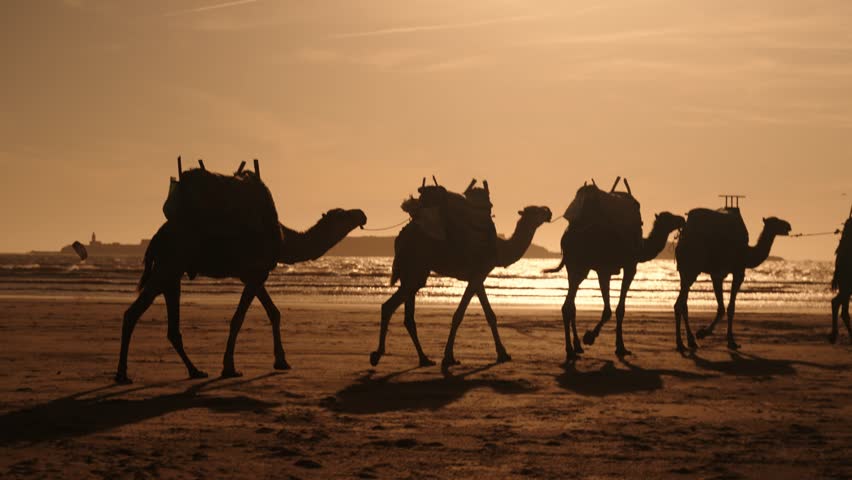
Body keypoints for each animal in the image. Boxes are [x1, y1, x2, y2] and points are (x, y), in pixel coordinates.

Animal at [115, 208, 367, 384]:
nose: (361, 214)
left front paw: (281, 361)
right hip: (169, 264)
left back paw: (195, 370)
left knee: (169, 325)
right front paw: (229, 368)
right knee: (133, 313)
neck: (284, 240)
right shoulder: (254, 274)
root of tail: (157, 236)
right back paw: (123, 375)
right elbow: (238, 319)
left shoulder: (256, 275)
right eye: (343, 214)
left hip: (171, 271)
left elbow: (274, 313)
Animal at [370, 205, 553, 372]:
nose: (548, 212)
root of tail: (400, 238)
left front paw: (502, 353)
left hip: (413, 272)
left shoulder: (478, 277)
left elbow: (489, 315)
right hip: (415, 268)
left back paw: (424, 359)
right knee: (389, 306)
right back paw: (377, 355)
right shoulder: (478, 274)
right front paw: (449, 357)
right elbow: (460, 314)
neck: (498, 249)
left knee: (407, 314)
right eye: (536, 211)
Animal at [546, 186, 685, 362]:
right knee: (569, 306)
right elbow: (613, 310)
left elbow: (616, 309)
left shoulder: (610, 269)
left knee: (570, 306)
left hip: (576, 268)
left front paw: (618, 346)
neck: (640, 247)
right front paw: (592, 338)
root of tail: (567, 237)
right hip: (580, 265)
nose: (682, 219)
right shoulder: (621, 267)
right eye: (669, 217)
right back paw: (571, 349)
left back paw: (576, 347)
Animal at [673, 209, 791, 351]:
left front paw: (703, 333)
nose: (788, 225)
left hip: (684, 271)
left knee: (682, 303)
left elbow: (722, 308)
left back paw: (689, 341)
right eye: (776, 221)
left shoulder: (717, 274)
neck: (747, 253)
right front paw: (730, 341)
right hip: (692, 267)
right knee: (679, 304)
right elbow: (730, 308)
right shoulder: (738, 271)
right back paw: (681, 343)